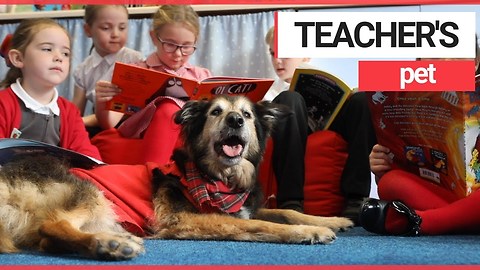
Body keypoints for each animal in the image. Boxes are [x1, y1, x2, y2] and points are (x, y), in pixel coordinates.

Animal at [0, 95, 352, 260]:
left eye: (248, 115)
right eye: (216, 112)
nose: (236, 121)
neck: (220, 177)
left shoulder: (246, 206)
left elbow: (284, 212)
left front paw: (331, 220)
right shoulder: (184, 219)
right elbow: (260, 225)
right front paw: (310, 232)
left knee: (47, 240)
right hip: (90, 192)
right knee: (52, 225)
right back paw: (111, 244)